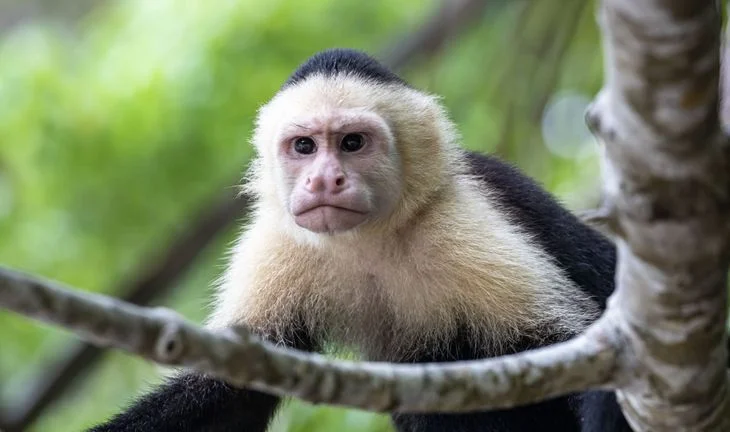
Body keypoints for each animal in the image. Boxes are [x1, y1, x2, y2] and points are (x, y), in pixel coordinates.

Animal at [89, 48, 631, 432]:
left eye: (352, 143)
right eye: (304, 147)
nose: (323, 180)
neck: (369, 243)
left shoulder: (463, 224)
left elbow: (578, 349)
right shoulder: (275, 242)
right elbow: (231, 393)